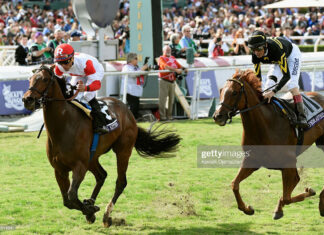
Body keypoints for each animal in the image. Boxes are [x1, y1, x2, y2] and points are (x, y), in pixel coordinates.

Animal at [21, 65, 181, 227]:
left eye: (44, 79)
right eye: (30, 79)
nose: (27, 99)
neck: (64, 126)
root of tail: (128, 111)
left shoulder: (80, 166)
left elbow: (72, 195)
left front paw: (90, 209)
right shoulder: (59, 169)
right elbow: (67, 201)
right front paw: (89, 209)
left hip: (123, 151)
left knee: (120, 182)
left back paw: (106, 215)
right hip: (92, 158)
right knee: (101, 175)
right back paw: (92, 203)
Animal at [213, 69, 324, 219]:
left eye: (234, 92)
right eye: (220, 90)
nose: (217, 116)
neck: (265, 125)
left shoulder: (288, 163)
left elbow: (287, 196)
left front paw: (309, 192)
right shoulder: (252, 161)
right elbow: (234, 184)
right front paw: (247, 209)